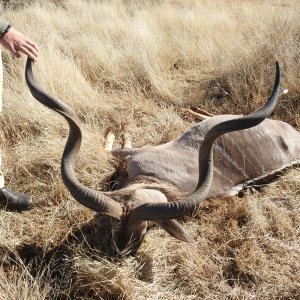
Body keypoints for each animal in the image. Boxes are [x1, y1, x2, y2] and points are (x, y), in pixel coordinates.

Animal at [25, 60, 300, 253]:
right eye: (113, 223)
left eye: (148, 226)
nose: (122, 249)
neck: (158, 181)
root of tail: (293, 135)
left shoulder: (134, 153)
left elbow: (111, 149)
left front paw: (118, 129)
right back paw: (190, 109)